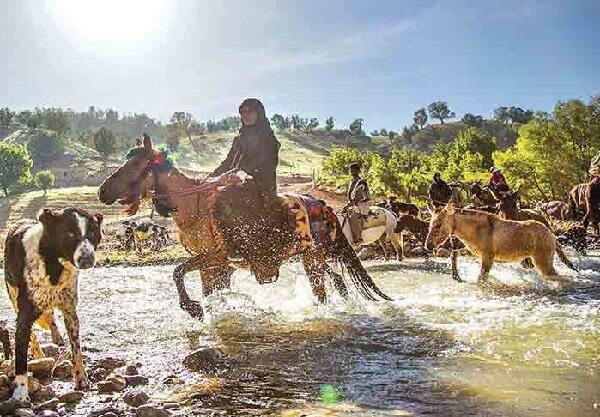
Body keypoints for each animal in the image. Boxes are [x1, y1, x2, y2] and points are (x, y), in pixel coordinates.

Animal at [3, 208, 103, 400]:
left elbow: (76, 349)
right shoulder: (25, 313)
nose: (87, 259)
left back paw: (56, 338)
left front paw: (82, 378)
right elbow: (21, 357)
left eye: (92, 234)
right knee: (33, 335)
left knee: (49, 317)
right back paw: (38, 354)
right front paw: (20, 392)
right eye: (69, 233)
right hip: (13, 296)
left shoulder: (70, 311)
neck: (53, 263)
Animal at [98, 137, 390, 318]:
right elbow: (208, 290)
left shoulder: (217, 257)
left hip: (312, 257)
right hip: (309, 256)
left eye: (136, 163)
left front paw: (193, 308)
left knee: (322, 291)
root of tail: (323, 205)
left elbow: (177, 271)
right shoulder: (212, 265)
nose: (102, 191)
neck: (195, 207)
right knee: (337, 279)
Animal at [424, 202, 580, 282]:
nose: (428, 246)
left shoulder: (488, 257)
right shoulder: (473, 252)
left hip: (543, 263)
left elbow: (481, 278)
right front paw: (456, 276)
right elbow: (454, 254)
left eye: (438, 224)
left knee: (562, 278)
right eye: (430, 224)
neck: (475, 230)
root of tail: (552, 236)